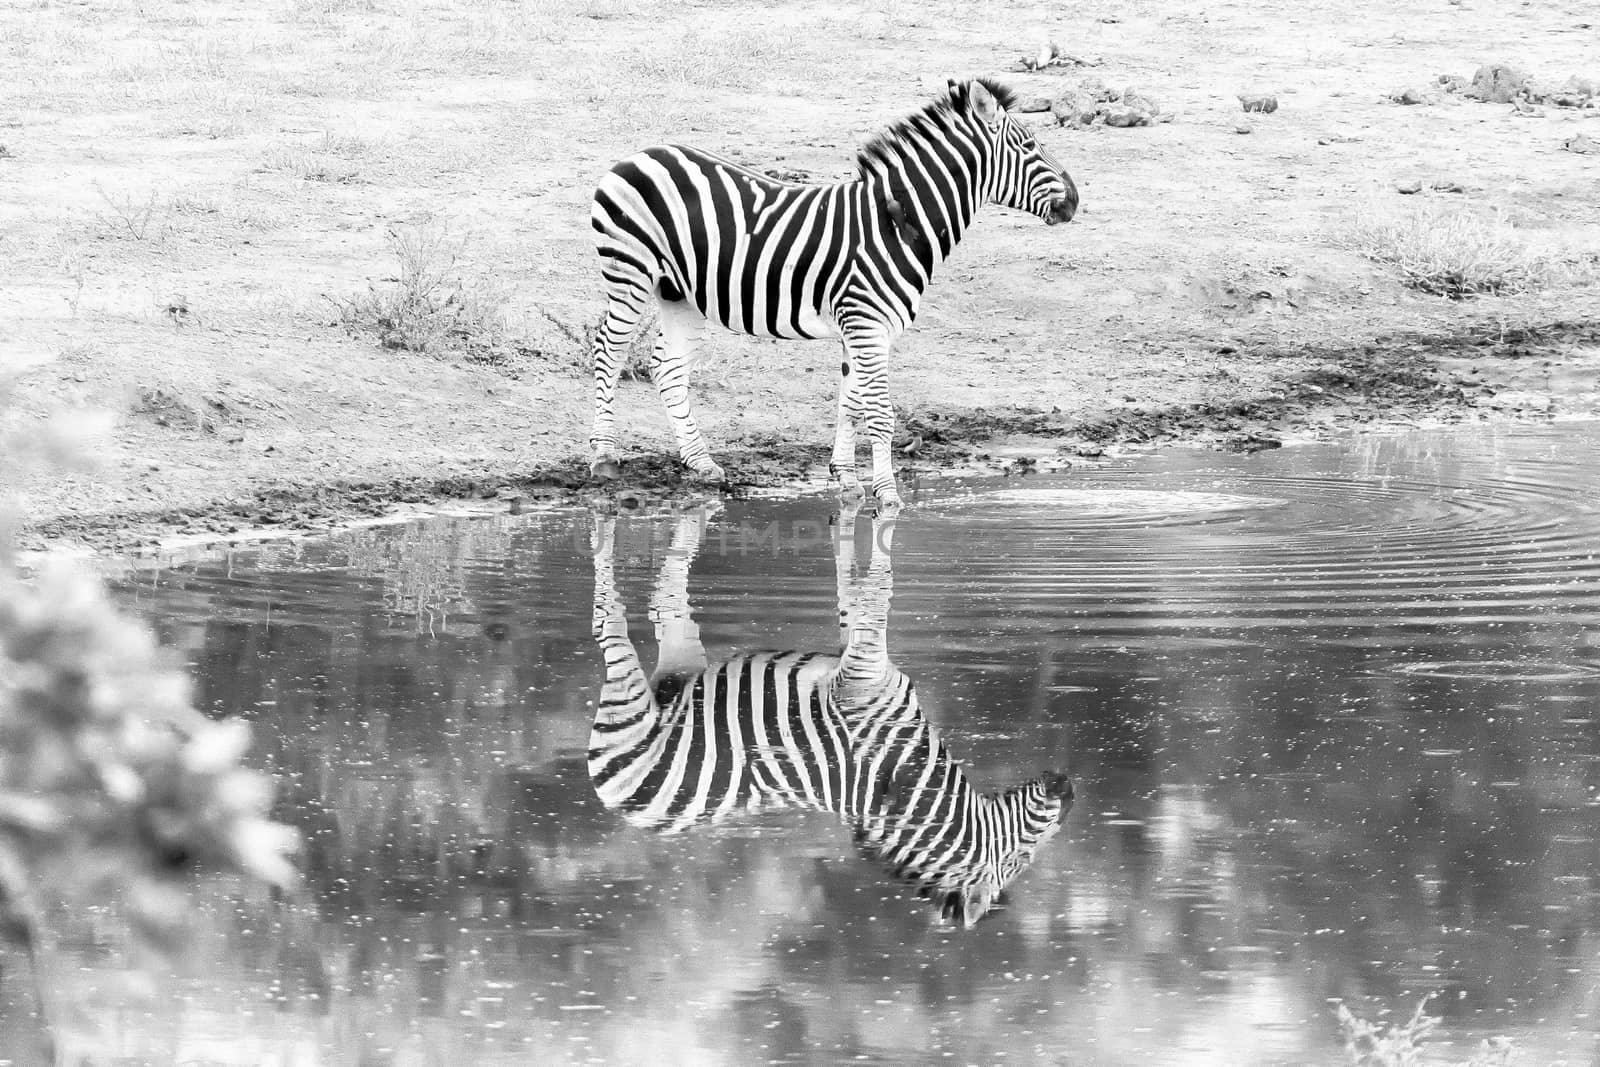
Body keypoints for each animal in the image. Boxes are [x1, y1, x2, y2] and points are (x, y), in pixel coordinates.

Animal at [582, 78, 1081, 508]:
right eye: (1031, 147)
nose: (1075, 202)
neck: (897, 224)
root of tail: (638, 154)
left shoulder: (864, 328)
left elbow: (851, 403)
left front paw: (846, 481)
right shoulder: (866, 323)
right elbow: (879, 413)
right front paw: (888, 496)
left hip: (678, 292)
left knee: (666, 367)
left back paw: (700, 462)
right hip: (630, 271)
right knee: (609, 350)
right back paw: (604, 456)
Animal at [588, 505, 1075, 927]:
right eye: (1022, 857)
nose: (1069, 793)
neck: (900, 769)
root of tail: (625, 809)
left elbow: (857, 600)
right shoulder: (863, 675)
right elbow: (878, 597)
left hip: (677, 676)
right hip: (629, 701)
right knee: (605, 624)